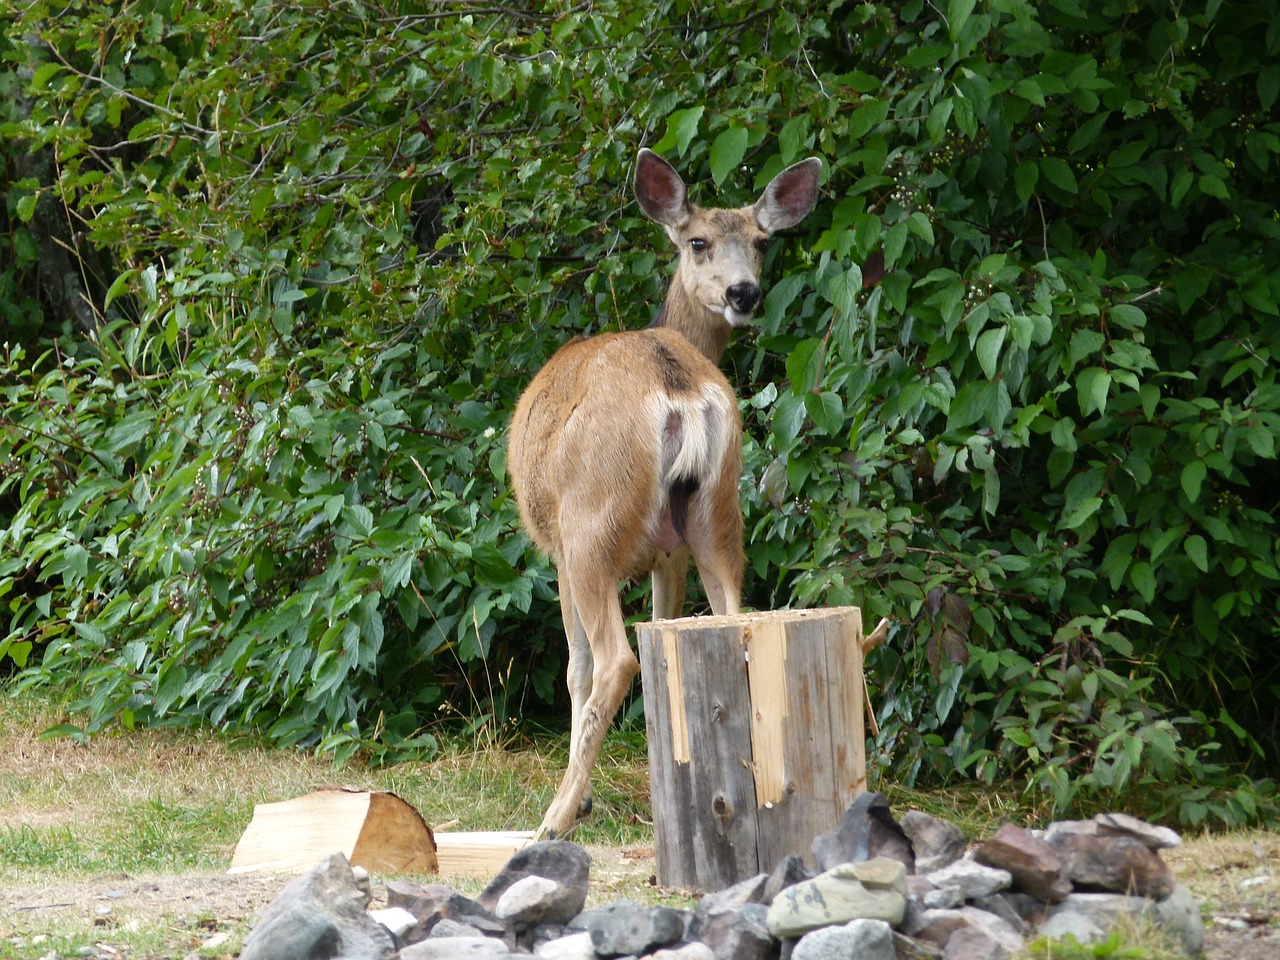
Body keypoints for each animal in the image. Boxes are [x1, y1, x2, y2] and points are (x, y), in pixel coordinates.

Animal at [506, 146, 819, 839]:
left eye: (762, 242)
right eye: (699, 241)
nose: (743, 291)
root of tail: (677, 386)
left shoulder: (557, 550)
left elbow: (576, 669)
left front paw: (582, 798)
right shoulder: (667, 554)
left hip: (591, 523)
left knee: (615, 659)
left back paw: (554, 817)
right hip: (717, 510)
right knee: (735, 619)